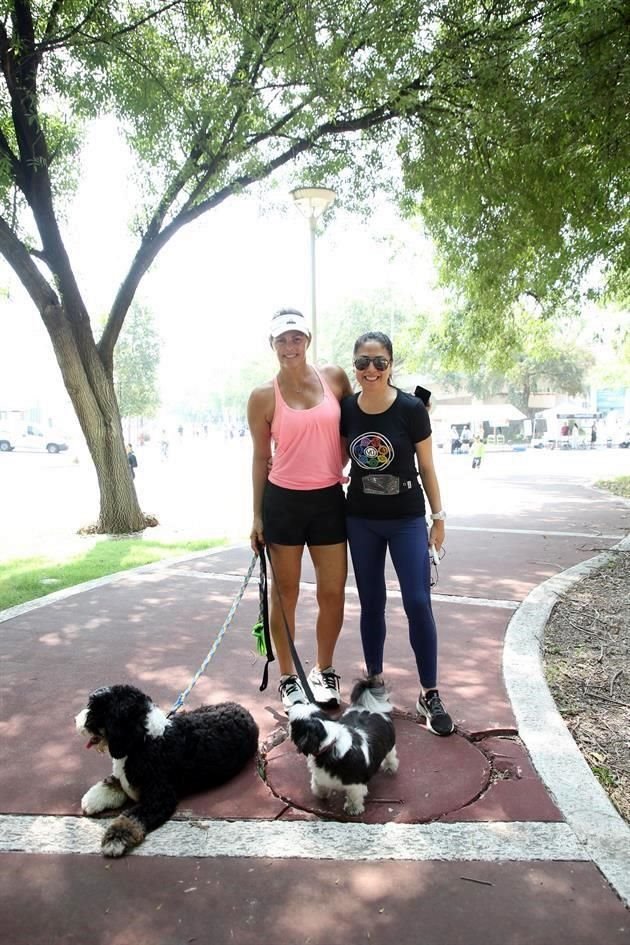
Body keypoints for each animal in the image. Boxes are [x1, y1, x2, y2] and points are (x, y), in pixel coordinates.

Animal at [76, 684, 260, 856]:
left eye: (93, 710)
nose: (75, 720)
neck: (143, 741)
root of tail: (244, 710)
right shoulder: (124, 778)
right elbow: (111, 783)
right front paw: (92, 800)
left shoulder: (159, 798)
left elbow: (131, 817)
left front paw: (115, 838)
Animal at [288, 676, 398, 816]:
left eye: (293, 724)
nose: (295, 704)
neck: (330, 745)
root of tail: (372, 709)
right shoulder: (321, 775)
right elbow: (319, 784)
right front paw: (321, 793)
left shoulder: (355, 784)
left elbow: (354, 796)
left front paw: (353, 808)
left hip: (390, 745)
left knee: (390, 755)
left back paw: (390, 766)